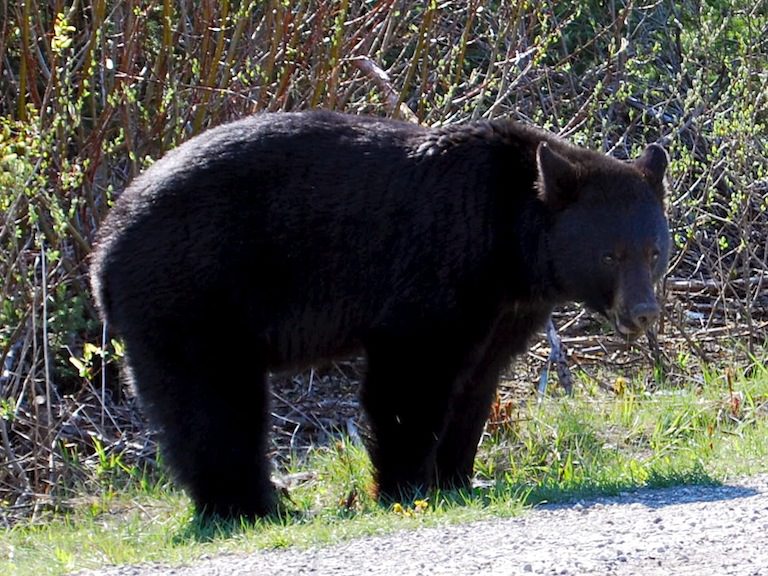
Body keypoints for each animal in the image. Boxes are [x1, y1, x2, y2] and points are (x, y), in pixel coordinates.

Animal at [88, 109, 664, 516]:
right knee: (211, 402)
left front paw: (460, 477)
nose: (642, 312)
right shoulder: (435, 270)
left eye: (653, 250)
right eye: (609, 254)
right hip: (193, 295)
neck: (510, 240)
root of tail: (103, 249)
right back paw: (252, 504)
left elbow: (477, 382)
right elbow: (411, 374)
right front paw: (405, 484)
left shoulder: (508, 307)